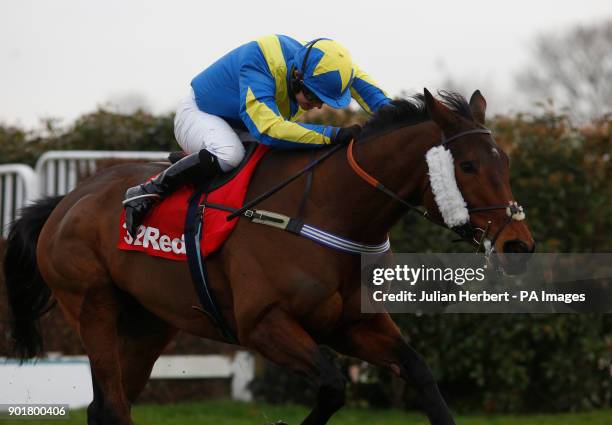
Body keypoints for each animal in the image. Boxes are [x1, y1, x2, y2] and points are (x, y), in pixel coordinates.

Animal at [2, 88, 532, 422]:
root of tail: (67, 200)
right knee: (112, 405)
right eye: (467, 165)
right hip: (93, 307)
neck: (327, 211)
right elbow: (333, 385)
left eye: (505, 161)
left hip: (147, 325)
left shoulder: (351, 323)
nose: (518, 245)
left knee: (105, 407)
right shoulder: (262, 325)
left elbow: (419, 372)